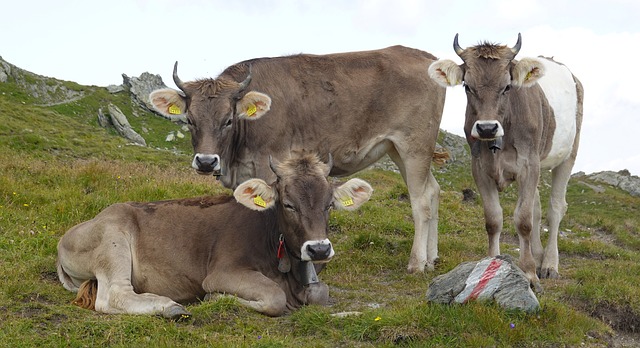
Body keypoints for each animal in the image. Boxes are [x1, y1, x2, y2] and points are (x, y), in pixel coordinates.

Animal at [58, 152, 376, 318]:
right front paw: (217, 299)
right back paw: (169, 307)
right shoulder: (221, 272)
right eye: (288, 204)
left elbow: (320, 292)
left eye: (329, 204)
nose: (319, 249)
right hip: (113, 240)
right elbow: (274, 297)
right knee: (112, 296)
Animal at [149, 47, 448, 274]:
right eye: (189, 120)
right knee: (433, 190)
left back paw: (417, 263)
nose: (206, 162)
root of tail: (426, 56)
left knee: (420, 200)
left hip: (414, 145)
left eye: (229, 120)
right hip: (398, 149)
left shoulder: (270, 165)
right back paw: (432, 258)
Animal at [430, 34, 584, 290]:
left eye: (507, 86)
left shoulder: (528, 165)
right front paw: (490, 265)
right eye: (467, 86)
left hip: (568, 154)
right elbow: (493, 220)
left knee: (555, 208)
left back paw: (549, 264)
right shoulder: (479, 168)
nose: (486, 127)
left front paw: (530, 274)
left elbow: (523, 220)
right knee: (537, 207)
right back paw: (538, 256)